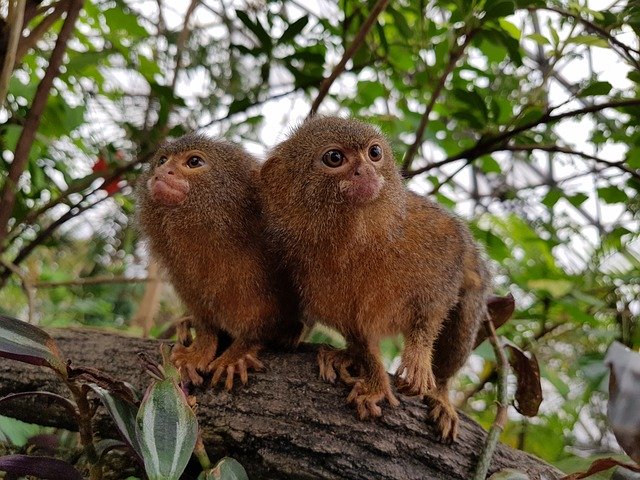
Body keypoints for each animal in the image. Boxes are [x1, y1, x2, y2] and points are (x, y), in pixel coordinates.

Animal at [136, 134, 304, 390]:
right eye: (162, 160)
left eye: (194, 162)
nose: (162, 171)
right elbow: (204, 319)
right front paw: (199, 349)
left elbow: (260, 325)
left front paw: (238, 353)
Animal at [258, 116, 490, 442]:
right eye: (334, 158)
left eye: (374, 153)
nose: (365, 170)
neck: (358, 237)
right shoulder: (303, 269)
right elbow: (357, 329)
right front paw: (376, 380)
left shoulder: (430, 230)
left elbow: (442, 286)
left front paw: (419, 356)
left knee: (467, 305)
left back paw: (441, 394)